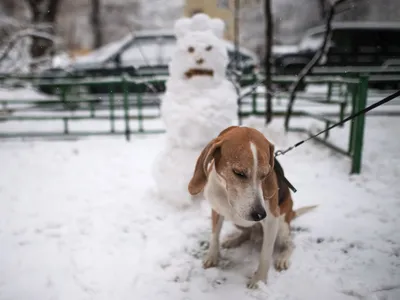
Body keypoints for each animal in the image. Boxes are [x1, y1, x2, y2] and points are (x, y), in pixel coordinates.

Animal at [188, 125, 316, 288]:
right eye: (238, 173)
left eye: (265, 174)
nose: (260, 215)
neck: (227, 195)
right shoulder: (217, 210)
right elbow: (214, 235)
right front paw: (212, 256)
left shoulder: (272, 221)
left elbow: (265, 254)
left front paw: (259, 280)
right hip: (239, 223)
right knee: (247, 234)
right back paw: (234, 240)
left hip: (282, 225)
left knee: (290, 244)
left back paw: (283, 258)